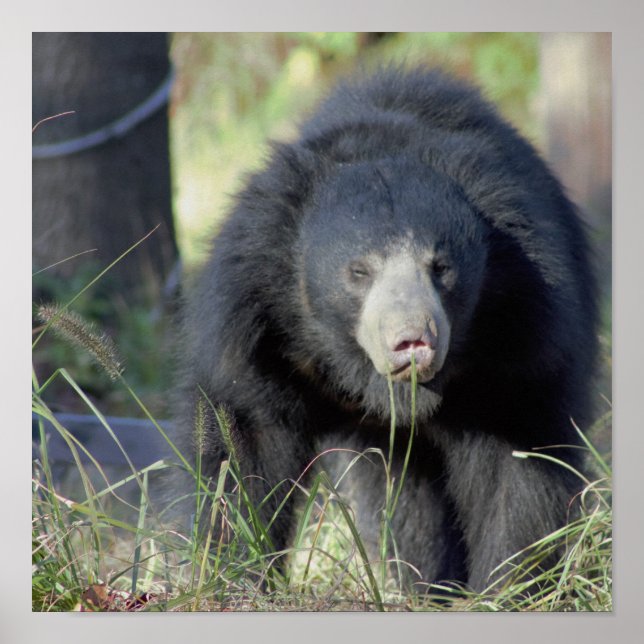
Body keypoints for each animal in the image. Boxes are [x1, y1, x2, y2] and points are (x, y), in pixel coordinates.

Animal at [174, 67, 598, 594]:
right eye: (359, 271)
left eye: (441, 267)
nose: (413, 340)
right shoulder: (253, 332)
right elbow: (244, 450)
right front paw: (231, 573)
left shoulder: (525, 342)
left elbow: (519, 468)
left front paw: (508, 587)